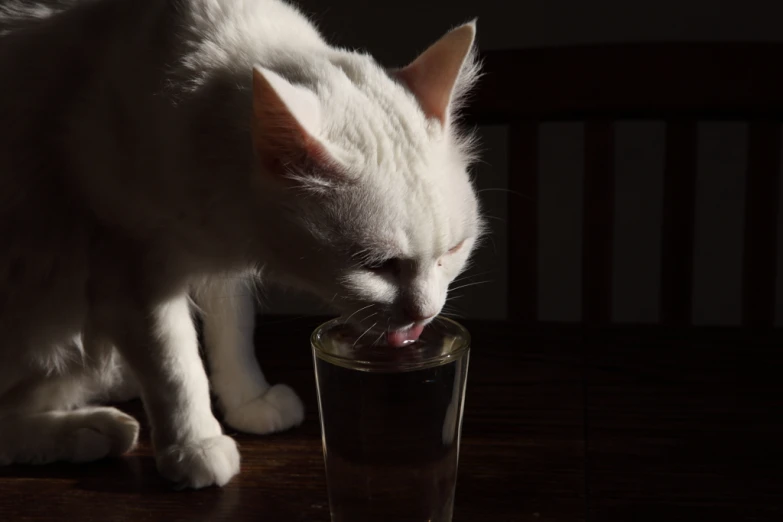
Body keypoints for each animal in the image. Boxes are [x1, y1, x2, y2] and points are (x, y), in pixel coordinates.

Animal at [0, 0, 484, 488]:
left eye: (453, 252)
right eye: (377, 265)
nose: (426, 313)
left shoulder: (218, 260)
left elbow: (234, 329)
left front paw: (248, 399)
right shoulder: (133, 273)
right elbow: (175, 365)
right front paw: (194, 443)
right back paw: (91, 429)